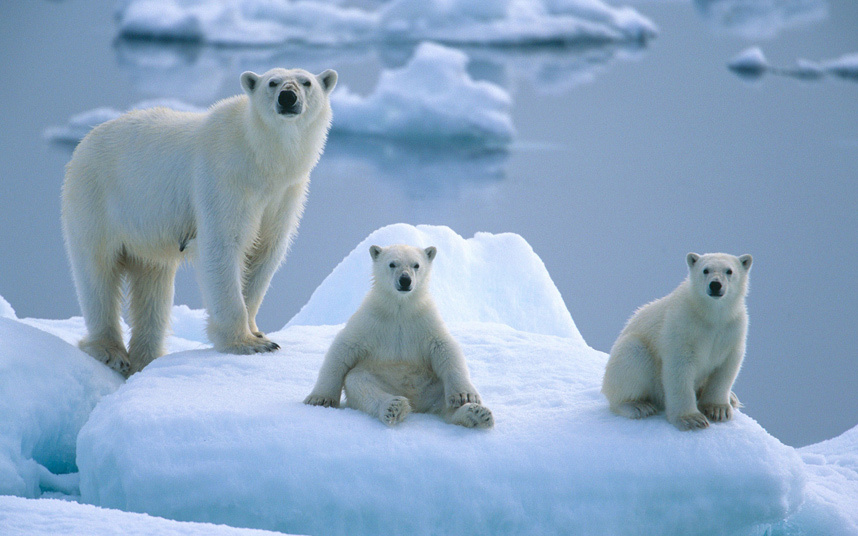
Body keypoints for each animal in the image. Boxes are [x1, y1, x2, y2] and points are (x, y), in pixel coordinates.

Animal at [61, 67, 337, 376]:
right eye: (272, 82)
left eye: (307, 82)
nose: (288, 97)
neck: (260, 159)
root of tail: (84, 141)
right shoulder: (224, 179)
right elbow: (223, 245)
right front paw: (248, 343)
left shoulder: (285, 194)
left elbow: (266, 252)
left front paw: (257, 331)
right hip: (96, 198)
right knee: (97, 272)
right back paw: (111, 352)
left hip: (145, 231)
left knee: (153, 284)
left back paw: (147, 357)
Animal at [304, 244, 494, 429]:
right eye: (392, 264)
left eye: (416, 265)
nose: (405, 280)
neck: (400, 308)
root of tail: (416, 402)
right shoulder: (370, 320)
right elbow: (343, 348)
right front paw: (319, 398)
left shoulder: (425, 320)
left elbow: (445, 348)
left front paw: (465, 396)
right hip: (380, 378)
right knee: (360, 383)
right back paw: (394, 406)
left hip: (432, 383)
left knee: (443, 400)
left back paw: (477, 413)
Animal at [601, 252, 753, 431]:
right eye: (705, 270)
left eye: (729, 271)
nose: (715, 285)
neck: (711, 315)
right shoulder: (682, 326)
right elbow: (679, 369)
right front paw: (692, 419)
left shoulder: (733, 328)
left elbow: (726, 368)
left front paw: (718, 409)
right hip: (632, 354)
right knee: (632, 356)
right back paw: (637, 406)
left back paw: (732, 398)